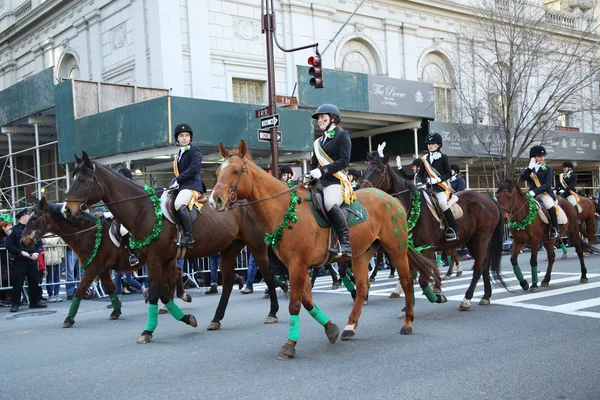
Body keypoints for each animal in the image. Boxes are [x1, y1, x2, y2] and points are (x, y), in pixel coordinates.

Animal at [21, 197, 190, 328]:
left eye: (34, 218)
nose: (23, 241)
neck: (90, 234)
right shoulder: (100, 269)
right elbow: (110, 288)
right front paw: (116, 311)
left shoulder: (93, 268)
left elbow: (79, 289)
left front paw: (69, 318)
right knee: (176, 273)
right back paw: (176, 298)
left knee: (174, 275)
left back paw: (173, 300)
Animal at [62, 153, 282, 344]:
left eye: (82, 179)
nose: (66, 210)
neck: (143, 210)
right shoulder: (164, 260)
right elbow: (164, 293)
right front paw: (186, 318)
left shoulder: (154, 260)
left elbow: (154, 293)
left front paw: (147, 331)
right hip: (229, 249)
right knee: (228, 282)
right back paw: (216, 319)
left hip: (256, 246)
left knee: (268, 275)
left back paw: (272, 312)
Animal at [209, 141, 438, 360]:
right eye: (218, 172)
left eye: (236, 171)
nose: (214, 201)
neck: (285, 208)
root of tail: (392, 198)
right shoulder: (297, 265)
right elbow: (307, 300)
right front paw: (330, 328)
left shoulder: (298, 264)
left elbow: (295, 304)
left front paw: (289, 345)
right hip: (362, 253)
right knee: (362, 287)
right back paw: (350, 327)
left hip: (395, 247)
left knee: (406, 279)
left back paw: (407, 322)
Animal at [360, 152, 506, 310]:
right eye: (366, 171)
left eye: (379, 171)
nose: (362, 193)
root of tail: (489, 199)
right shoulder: (411, 249)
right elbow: (410, 276)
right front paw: (408, 306)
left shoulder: (427, 248)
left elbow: (423, 279)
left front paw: (438, 296)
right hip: (473, 241)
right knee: (484, 265)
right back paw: (485, 296)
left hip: (480, 239)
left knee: (478, 267)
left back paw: (466, 299)